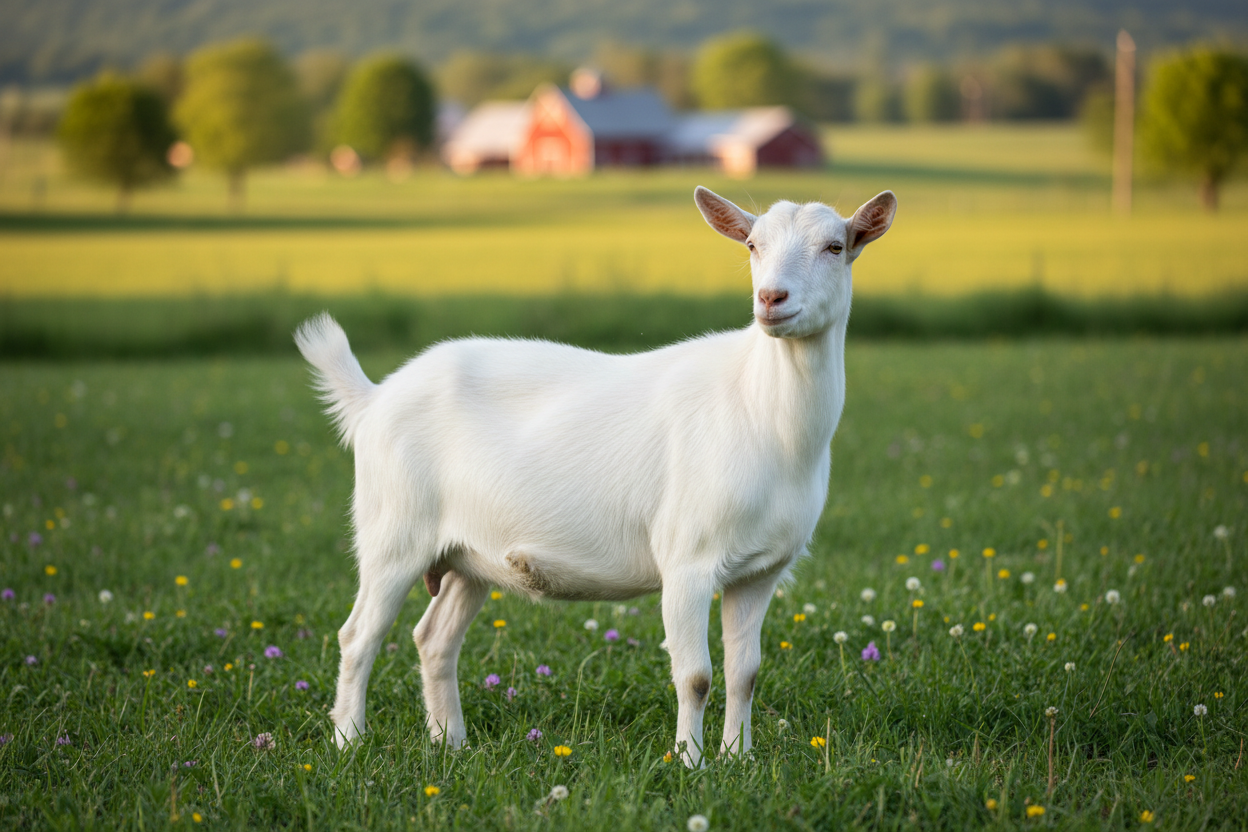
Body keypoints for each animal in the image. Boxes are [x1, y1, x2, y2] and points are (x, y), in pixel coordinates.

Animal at [295, 186, 896, 766]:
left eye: (835, 247)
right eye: (752, 245)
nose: (771, 299)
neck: (762, 412)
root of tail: (372, 399)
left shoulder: (762, 571)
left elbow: (744, 674)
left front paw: (739, 760)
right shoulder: (687, 560)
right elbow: (696, 677)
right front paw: (691, 765)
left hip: (468, 556)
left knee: (434, 637)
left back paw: (451, 743)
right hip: (393, 529)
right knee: (359, 635)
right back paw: (349, 741)